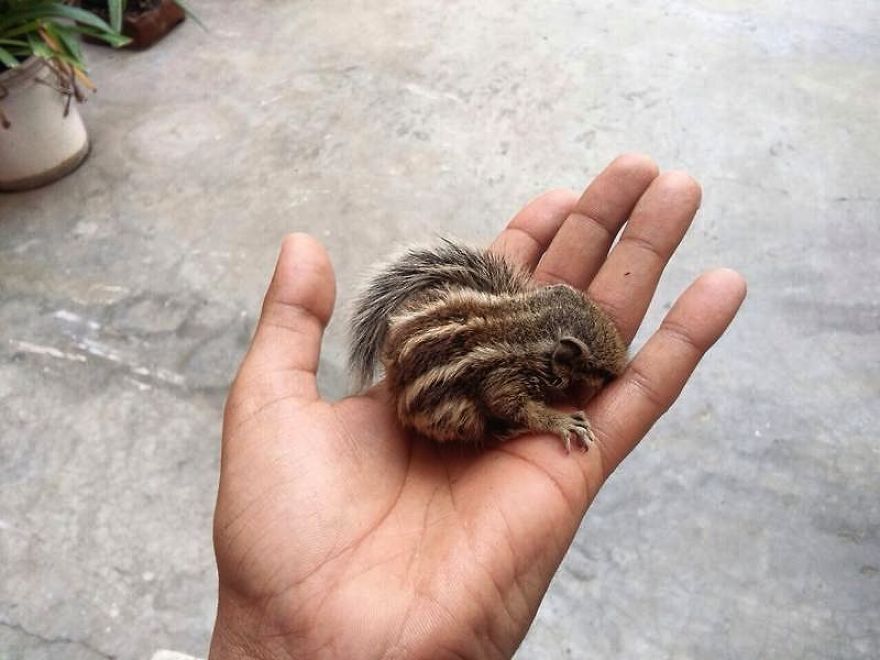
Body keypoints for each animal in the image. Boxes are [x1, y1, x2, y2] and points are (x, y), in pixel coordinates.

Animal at [348, 240, 628, 452]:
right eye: (595, 368)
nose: (620, 372)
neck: (532, 324)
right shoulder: (504, 380)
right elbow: (513, 407)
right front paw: (562, 421)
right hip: (461, 416)